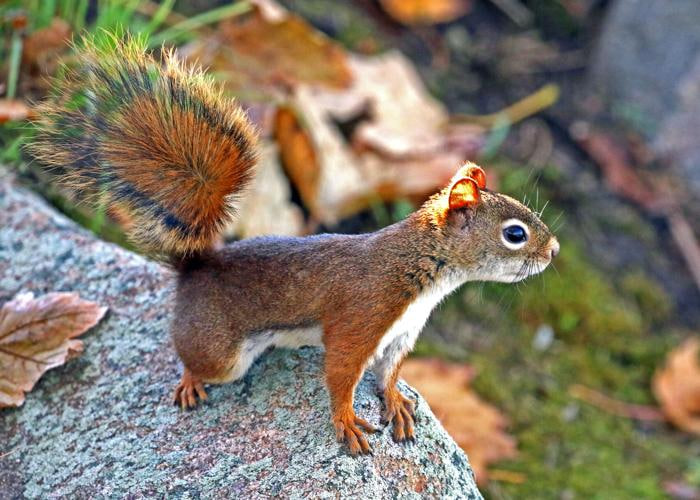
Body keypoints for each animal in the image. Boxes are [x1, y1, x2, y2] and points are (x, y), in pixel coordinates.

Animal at [28, 37, 559, 455]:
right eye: (515, 233)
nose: (553, 251)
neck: (424, 270)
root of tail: (194, 268)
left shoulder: (403, 332)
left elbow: (388, 374)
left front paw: (396, 404)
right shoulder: (362, 315)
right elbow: (342, 372)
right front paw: (346, 421)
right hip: (221, 351)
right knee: (195, 358)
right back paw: (190, 381)